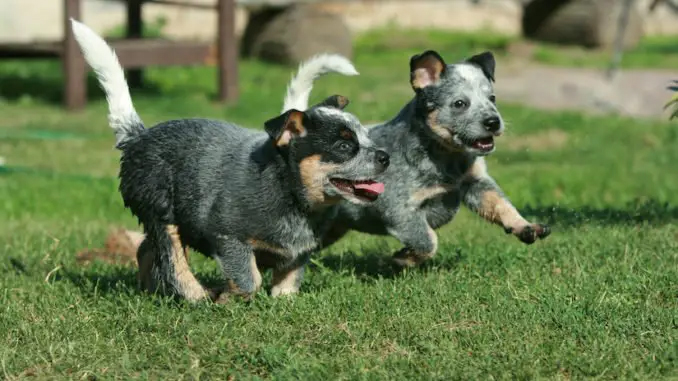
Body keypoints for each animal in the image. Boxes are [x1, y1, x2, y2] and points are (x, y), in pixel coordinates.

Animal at [71, 20, 390, 300]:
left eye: (367, 137)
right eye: (344, 146)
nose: (385, 156)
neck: (290, 193)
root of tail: (138, 136)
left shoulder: (300, 250)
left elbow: (288, 279)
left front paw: (284, 300)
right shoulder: (228, 237)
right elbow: (249, 278)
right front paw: (228, 297)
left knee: (147, 251)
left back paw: (152, 290)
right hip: (161, 212)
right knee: (172, 259)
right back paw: (196, 296)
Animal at [324, 49, 552, 266]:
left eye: (492, 98)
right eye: (460, 103)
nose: (493, 122)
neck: (448, 158)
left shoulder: (476, 183)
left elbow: (500, 203)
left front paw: (525, 225)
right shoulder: (398, 207)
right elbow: (428, 240)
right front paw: (405, 258)